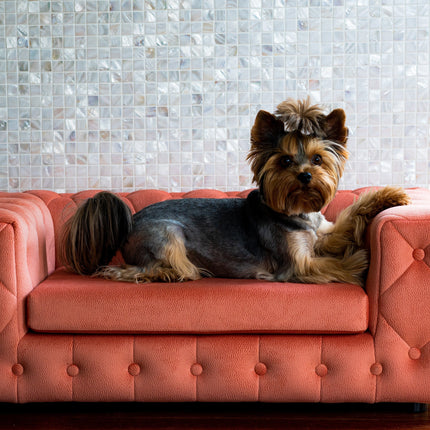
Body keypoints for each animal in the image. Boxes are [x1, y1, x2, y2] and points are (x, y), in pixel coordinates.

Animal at [63, 97, 410, 286]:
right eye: (285, 160)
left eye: (317, 159)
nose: (305, 176)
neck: (296, 210)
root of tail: (130, 220)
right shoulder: (297, 264)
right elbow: (332, 266)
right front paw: (360, 264)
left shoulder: (322, 233)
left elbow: (350, 217)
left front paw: (390, 196)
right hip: (168, 233)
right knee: (133, 270)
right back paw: (171, 272)